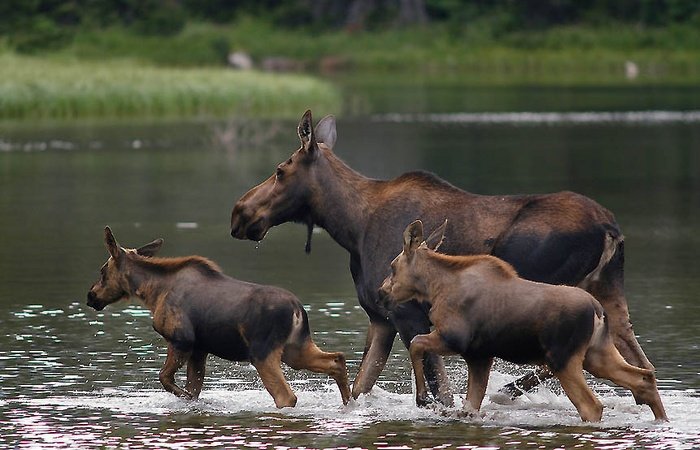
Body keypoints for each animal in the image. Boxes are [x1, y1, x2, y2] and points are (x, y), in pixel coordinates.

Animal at [86, 227, 350, 406]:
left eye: (102, 271)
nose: (91, 296)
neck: (151, 292)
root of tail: (298, 310)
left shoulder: (181, 340)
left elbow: (166, 379)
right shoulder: (199, 349)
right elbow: (193, 390)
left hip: (262, 353)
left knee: (286, 396)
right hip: (295, 350)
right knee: (337, 359)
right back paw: (350, 403)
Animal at [230, 109, 656, 404]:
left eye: (280, 170)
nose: (240, 212)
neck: (349, 226)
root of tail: (610, 228)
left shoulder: (408, 313)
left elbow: (438, 392)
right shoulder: (380, 318)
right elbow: (360, 386)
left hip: (551, 292)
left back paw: (506, 393)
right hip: (609, 294)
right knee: (641, 362)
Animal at [378, 221, 668, 422]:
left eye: (392, 267)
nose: (382, 292)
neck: (434, 288)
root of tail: (598, 311)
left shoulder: (454, 338)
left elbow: (416, 343)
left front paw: (423, 398)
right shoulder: (480, 356)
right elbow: (470, 407)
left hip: (564, 359)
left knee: (592, 405)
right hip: (597, 355)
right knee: (643, 377)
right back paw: (661, 421)